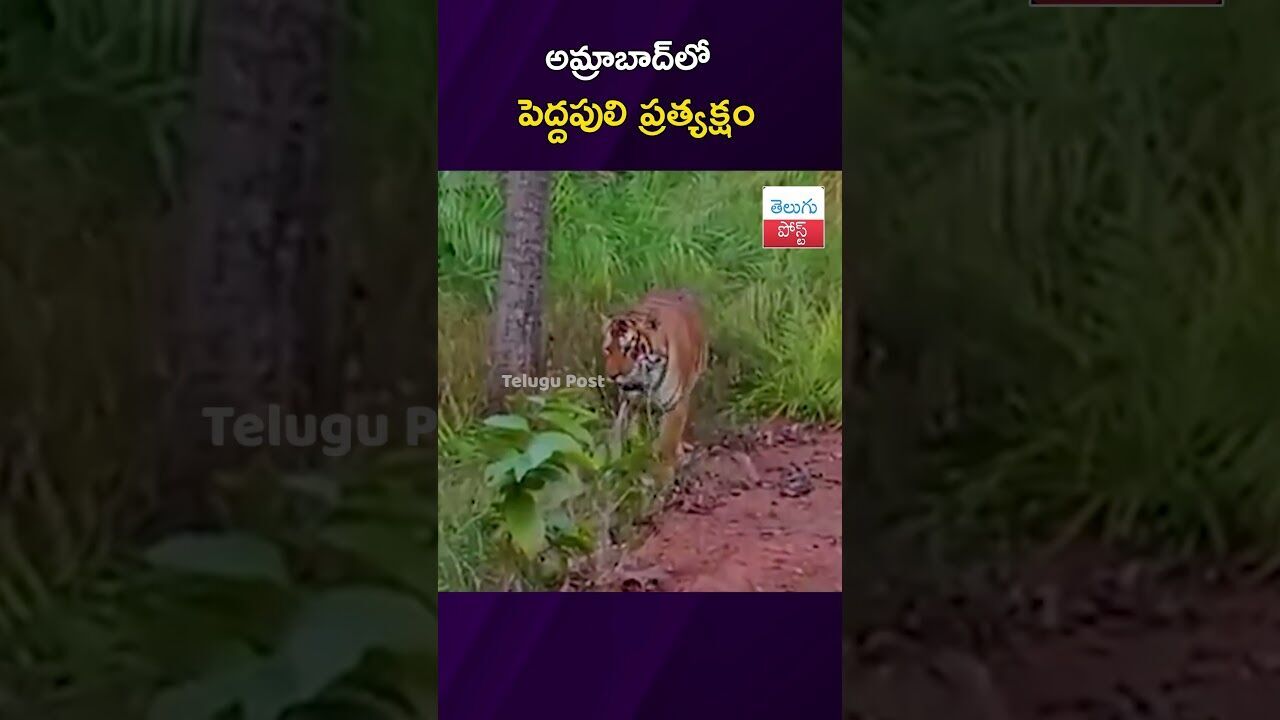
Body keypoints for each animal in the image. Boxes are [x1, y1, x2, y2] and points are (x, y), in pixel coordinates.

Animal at [601, 289, 709, 480]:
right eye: (608, 349)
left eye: (628, 349)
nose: (612, 376)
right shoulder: (631, 405)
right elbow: (628, 434)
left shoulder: (674, 406)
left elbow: (667, 442)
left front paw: (662, 475)